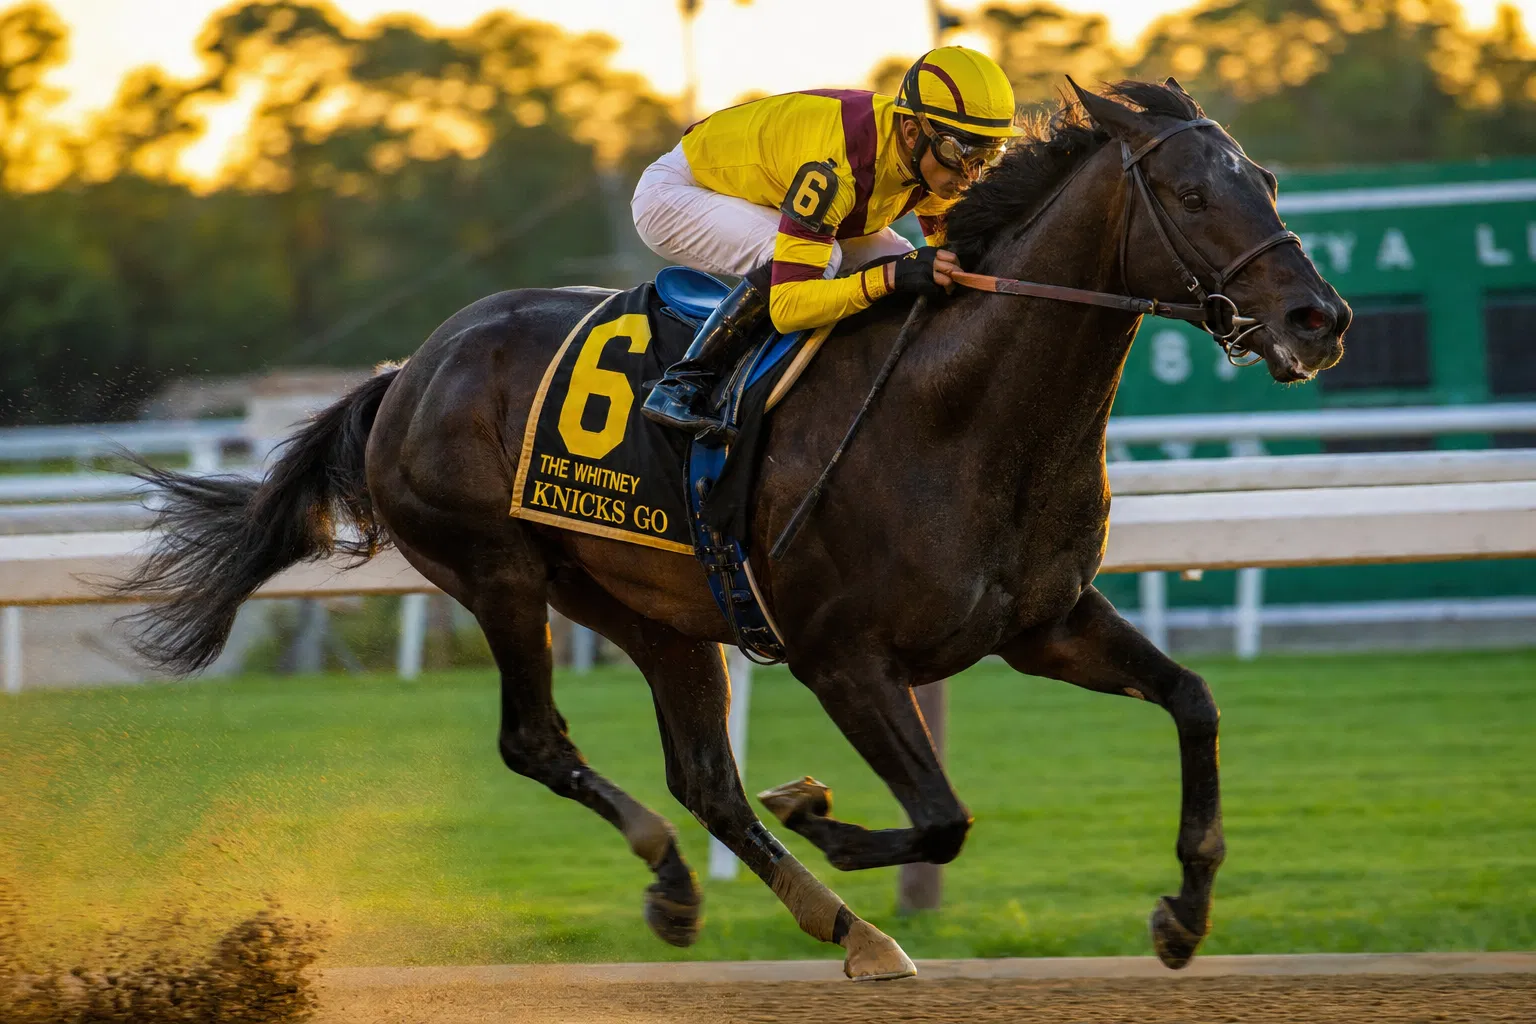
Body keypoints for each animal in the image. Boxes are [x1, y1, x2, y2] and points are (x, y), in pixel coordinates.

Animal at [115, 79, 1348, 979]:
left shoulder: (1045, 624)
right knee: (539, 741)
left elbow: (1194, 702)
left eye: (1266, 178)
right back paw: (691, 880)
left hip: (655, 608)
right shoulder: (840, 656)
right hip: (500, 572)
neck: (962, 412)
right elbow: (942, 816)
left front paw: (1185, 911)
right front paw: (821, 811)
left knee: (703, 777)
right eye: (1189, 192)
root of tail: (407, 369)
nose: (1318, 318)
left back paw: (841, 927)